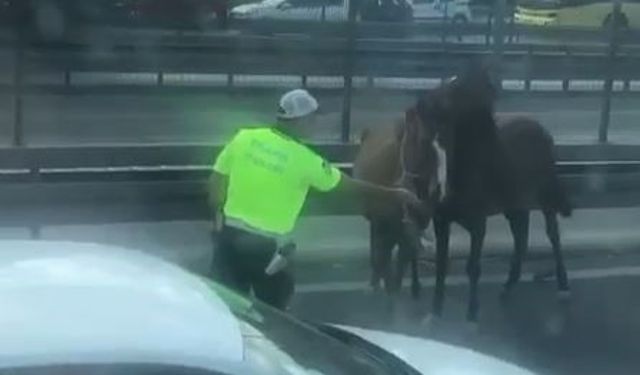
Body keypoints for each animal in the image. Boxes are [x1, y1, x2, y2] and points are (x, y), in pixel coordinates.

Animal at [420, 69, 576, 324]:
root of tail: (543, 131)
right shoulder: (441, 221)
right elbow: (441, 265)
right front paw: (435, 313)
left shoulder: (478, 223)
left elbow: (473, 267)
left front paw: (472, 314)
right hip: (514, 204)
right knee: (521, 239)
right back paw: (508, 286)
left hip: (544, 197)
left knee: (553, 236)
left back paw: (563, 287)